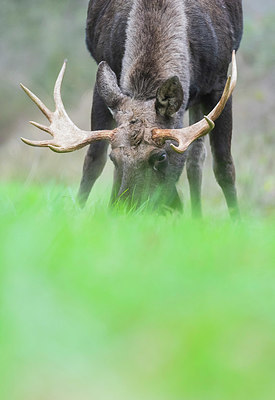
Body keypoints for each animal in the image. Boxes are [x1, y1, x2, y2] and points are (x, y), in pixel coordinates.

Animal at [20, 0, 243, 216]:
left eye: (161, 156)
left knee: (196, 158)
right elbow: (93, 159)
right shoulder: (103, 86)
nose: (128, 209)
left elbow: (224, 166)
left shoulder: (219, 83)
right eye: (114, 158)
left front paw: (236, 219)